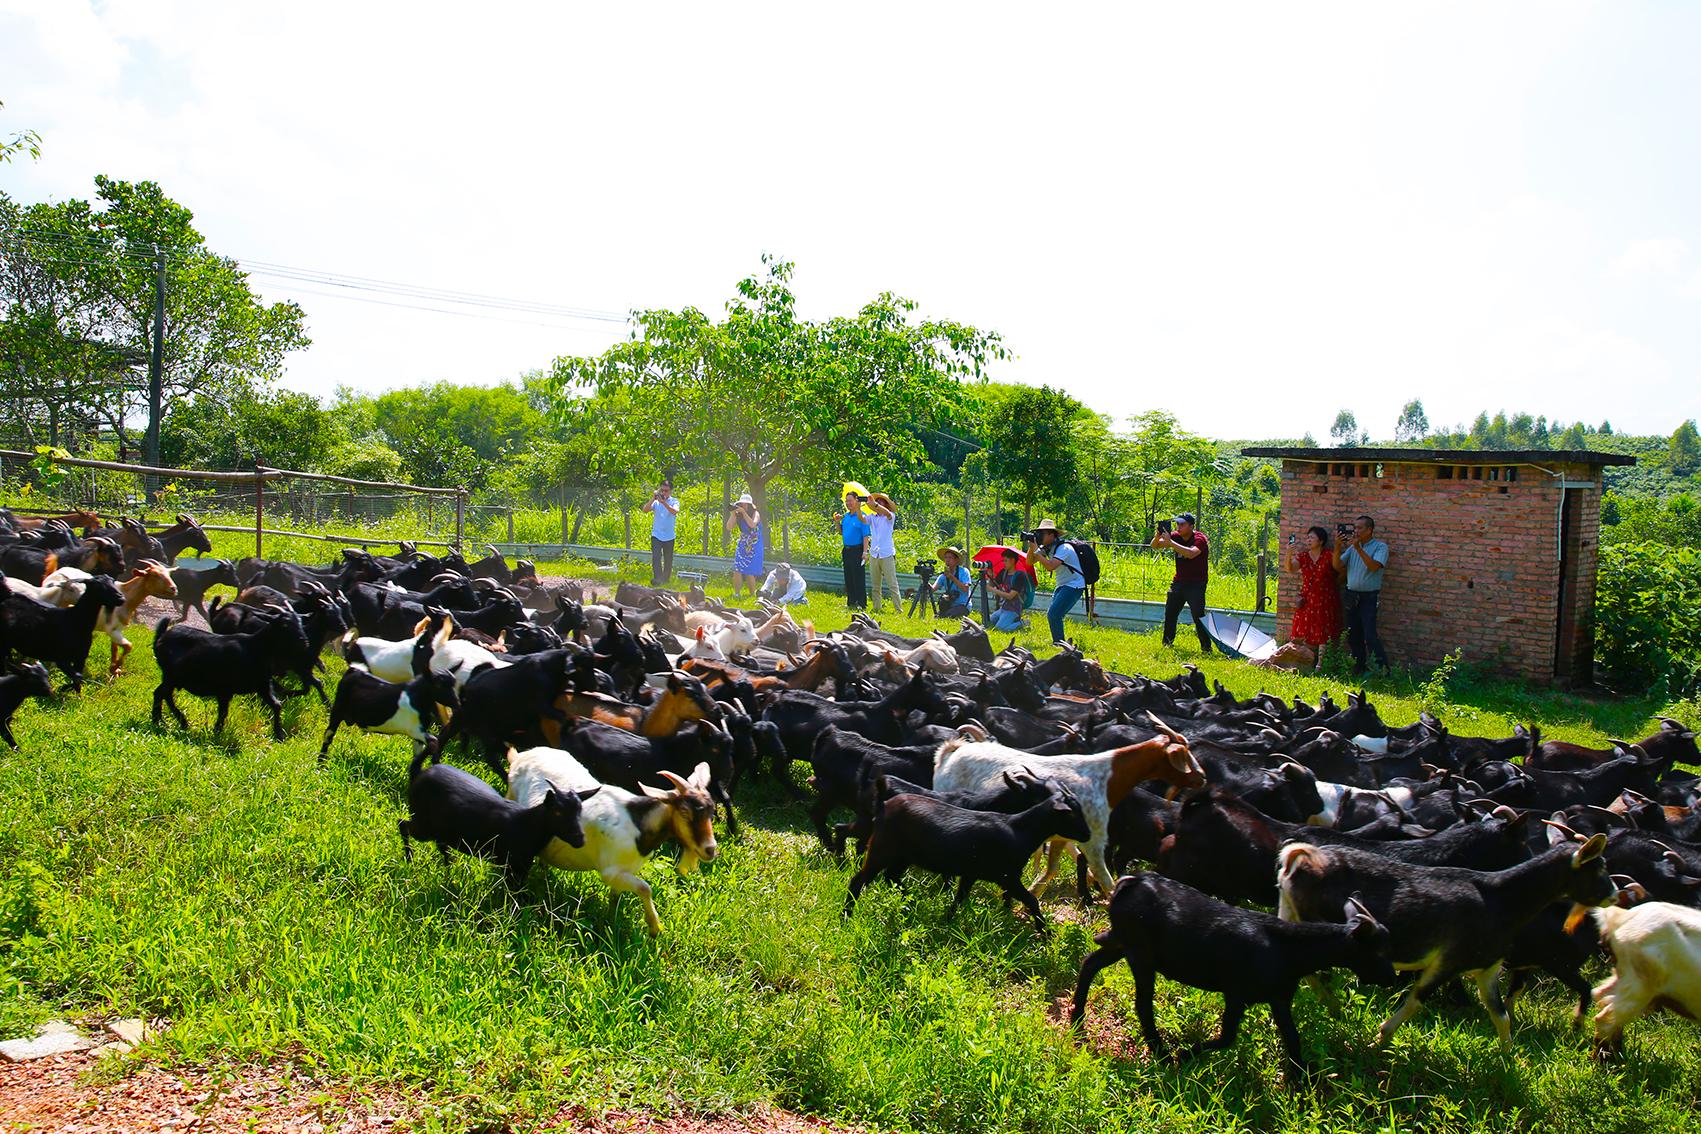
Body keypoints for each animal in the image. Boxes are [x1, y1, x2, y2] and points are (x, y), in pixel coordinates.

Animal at [1075, 877, 1394, 1088]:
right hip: (1140, 953)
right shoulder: (1236, 993)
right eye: (1377, 951)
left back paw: (1077, 1022)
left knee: (1089, 963)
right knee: (1142, 1003)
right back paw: (1161, 1053)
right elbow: (1228, 1037)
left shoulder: (1279, 997)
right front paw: (1185, 1054)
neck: (1288, 951)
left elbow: (1293, 1039)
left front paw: (1302, 1082)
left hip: (1122, 943)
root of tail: (1130, 882)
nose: (1392, 978)